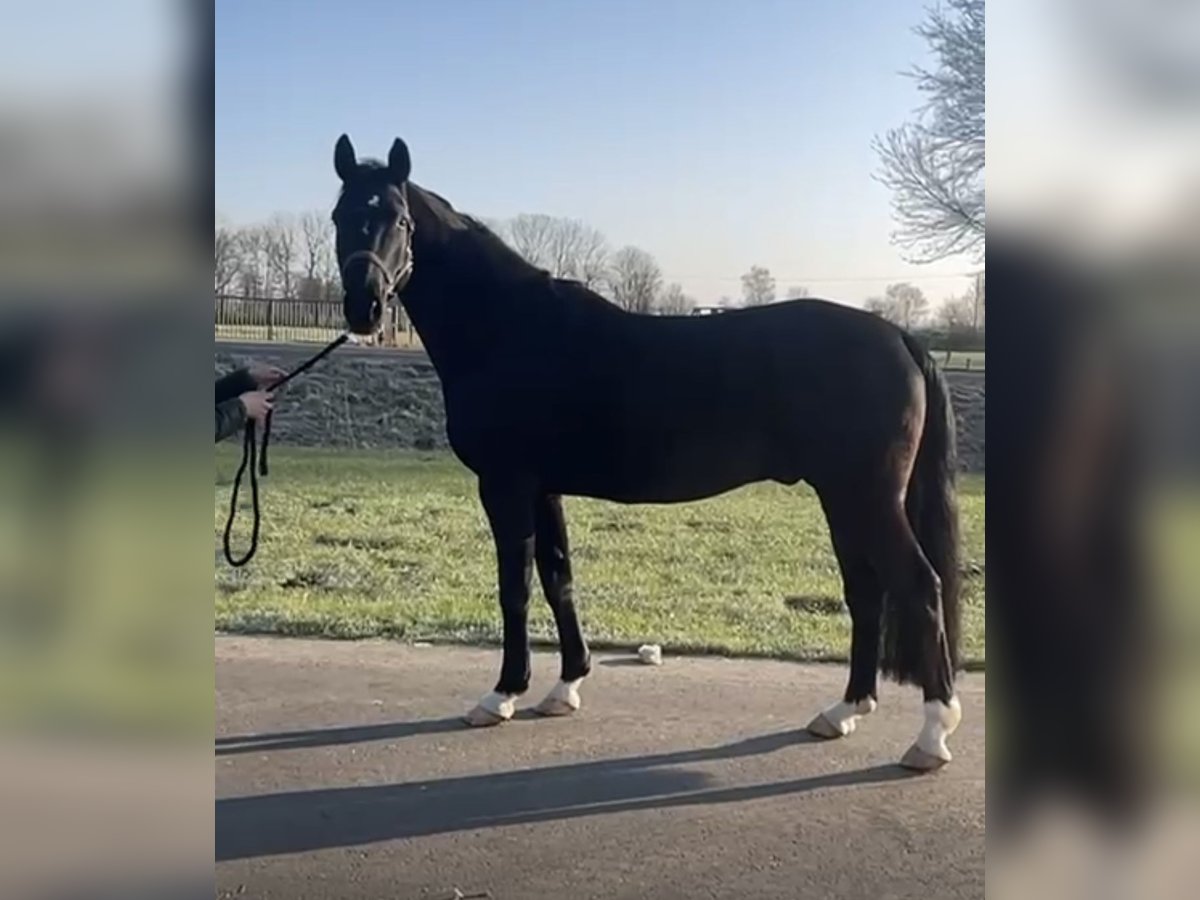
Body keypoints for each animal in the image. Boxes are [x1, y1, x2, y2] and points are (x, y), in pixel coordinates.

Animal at [331, 135, 964, 777]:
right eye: (339, 216)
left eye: (398, 218)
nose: (365, 308)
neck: (506, 328)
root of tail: (899, 336)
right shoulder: (544, 488)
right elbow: (558, 577)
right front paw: (565, 687)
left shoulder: (506, 485)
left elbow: (516, 588)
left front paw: (503, 694)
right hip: (843, 498)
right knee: (866, 591)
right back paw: (844, 712)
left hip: (865, 497)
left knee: (919, 585)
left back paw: (932, 736)